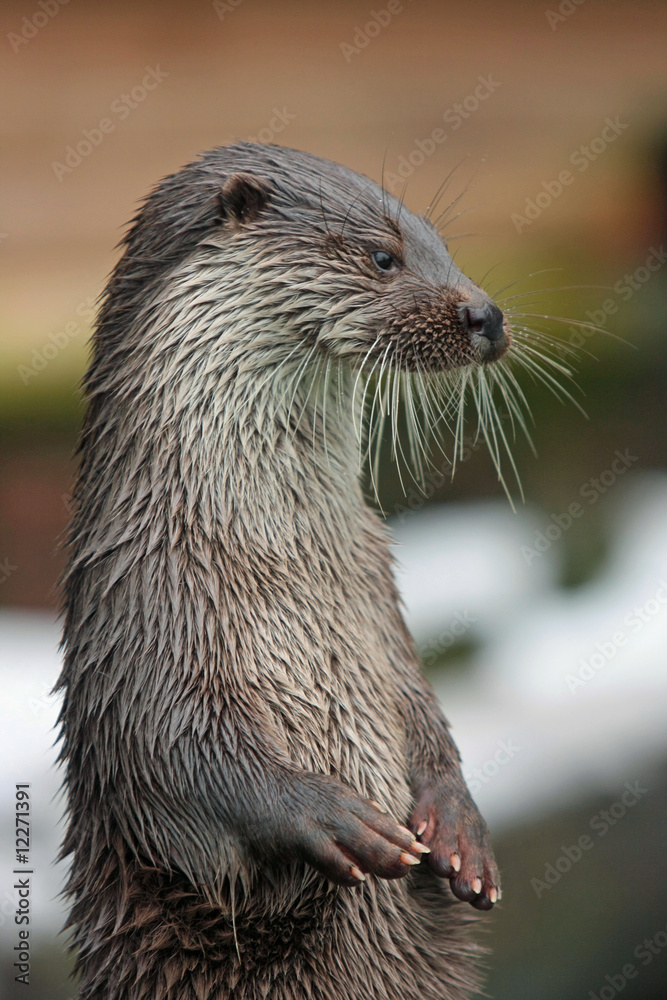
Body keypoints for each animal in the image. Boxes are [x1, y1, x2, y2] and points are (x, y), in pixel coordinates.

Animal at [57, 142, 510, 1000]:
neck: (281, 561)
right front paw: (337, 818)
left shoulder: (379, 602)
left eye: (442, 246)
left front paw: (458, 829)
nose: (487, 315)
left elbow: (423, 708)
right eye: (382, 256)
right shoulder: (140, 625)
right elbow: (173, 753)